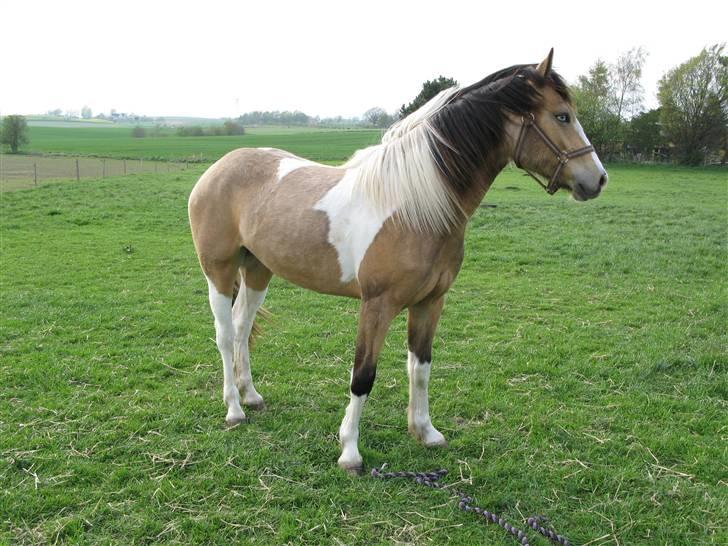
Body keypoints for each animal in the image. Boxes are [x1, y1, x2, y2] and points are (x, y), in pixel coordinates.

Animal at [186, 51, 604, 472]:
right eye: (562, 116)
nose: (597, 179)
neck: (416, 209)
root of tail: (219, 167)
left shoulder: (430, 303)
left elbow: (420, 368)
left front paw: (425, 432)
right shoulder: (377, 305)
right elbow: (363, 375)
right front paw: (350, 452)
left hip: (258, 269)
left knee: (242, 327)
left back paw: (251, 395)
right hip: (218, 270)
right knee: (225, 334)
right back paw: (234, 409)